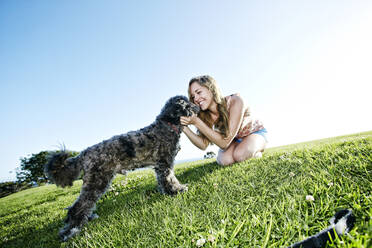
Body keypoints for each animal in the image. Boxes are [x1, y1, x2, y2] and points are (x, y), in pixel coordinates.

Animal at [44, 96, 199, 241]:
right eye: (187, 103)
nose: (197, 107)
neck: (167, 124)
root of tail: (84, 153)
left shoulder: (159, 167)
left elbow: (163, 182)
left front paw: (168, 192)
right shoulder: (165, 164)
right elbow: (170, 179)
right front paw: (177, 190)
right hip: (97, 181)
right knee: (78, 206)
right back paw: (70, 231)